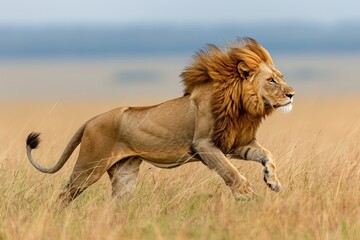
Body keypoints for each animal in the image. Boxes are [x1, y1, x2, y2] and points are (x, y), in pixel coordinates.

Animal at [26, 37, 296, 204]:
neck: (243, 105)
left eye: (281, 77)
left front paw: (272, 181)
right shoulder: (204, 145)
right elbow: (229, 171)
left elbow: (267, 155)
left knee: (114, 203)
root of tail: (92, 119)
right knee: (65, 194)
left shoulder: (236, 142)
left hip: (124, 173)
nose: (292, 94)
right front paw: (245, 194)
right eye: (271, 80)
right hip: (89, 166)